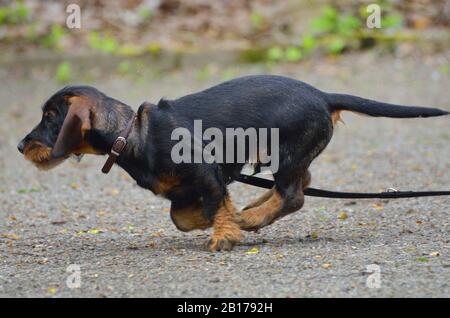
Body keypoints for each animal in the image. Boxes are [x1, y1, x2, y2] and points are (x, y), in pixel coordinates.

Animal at [16, 75, 446, 251]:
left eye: (50, 117)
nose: (20, 145)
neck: (132, 133)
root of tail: (324, 95)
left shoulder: (207, 174)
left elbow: (214, 204)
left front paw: (225, 233)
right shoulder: (185, 190)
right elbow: (181, 216)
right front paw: (216, 221)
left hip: (285, 151)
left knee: (294, 195)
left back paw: (253, 217)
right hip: (286, 154)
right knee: (302, 181)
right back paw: (253, 208)